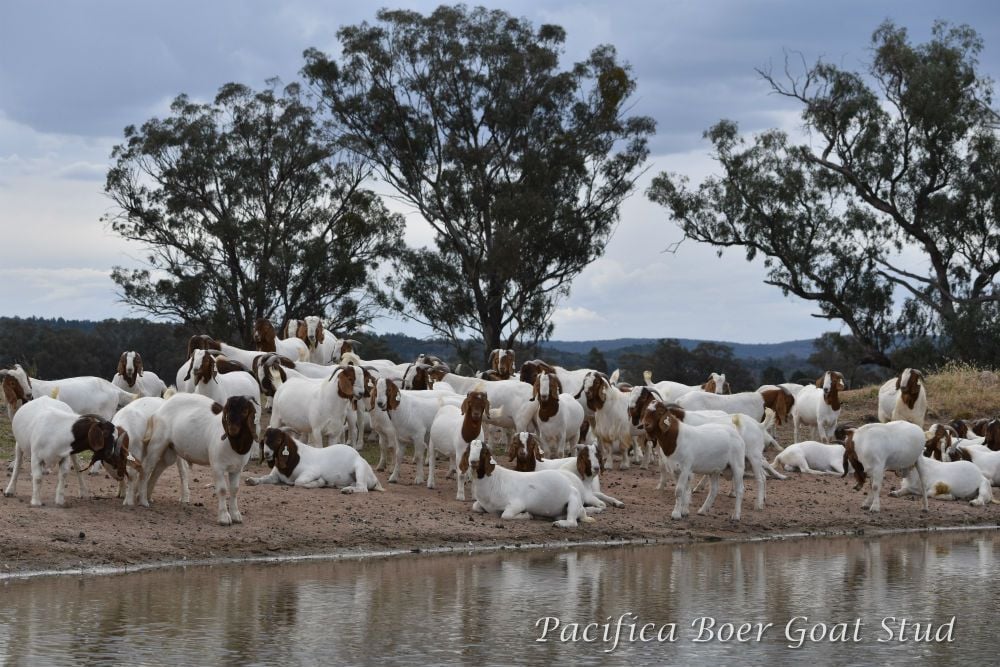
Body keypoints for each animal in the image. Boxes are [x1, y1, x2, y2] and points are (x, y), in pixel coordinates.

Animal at [140, 393, 257, 525]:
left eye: (245, 410)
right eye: (228, 411)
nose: (232, 429)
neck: (233, 444)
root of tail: (159, 410)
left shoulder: (237, 469)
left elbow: (235, 489)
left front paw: (236, 515)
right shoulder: (217, 467)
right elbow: (222, 490)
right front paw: (224, 518)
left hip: (170, 450)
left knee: (157, 469)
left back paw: (149, 496)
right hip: (157, 442)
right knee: (147, 468)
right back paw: (143, 500)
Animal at [247, 428, 384, 492]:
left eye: (278, 440)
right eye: (264, 440)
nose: (267, 453)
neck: (295, 459)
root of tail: (375, 479)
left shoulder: (311, 472)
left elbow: (298, 482)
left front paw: (319, 482)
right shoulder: (275, 477)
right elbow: (264, 478)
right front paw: (251, 480)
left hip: (359, 468)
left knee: (363, 488)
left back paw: (347, 490)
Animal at [460, 440, 591, 528]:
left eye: (483, 452)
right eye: (468, 450)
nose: (473, 462)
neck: (494, 480)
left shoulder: (516, 504)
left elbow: (506, 515)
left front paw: (527, 515)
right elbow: (475, 506)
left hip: (573, 497)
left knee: (573, 522)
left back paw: (559, 523)